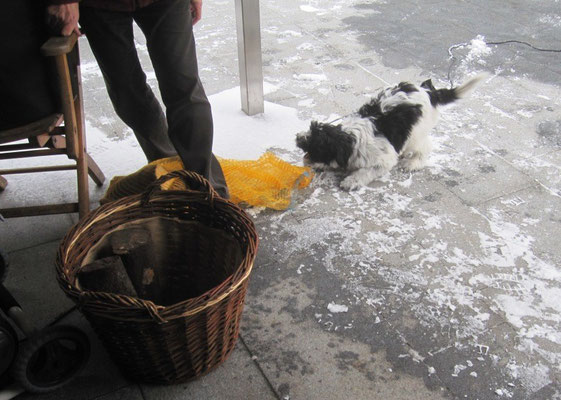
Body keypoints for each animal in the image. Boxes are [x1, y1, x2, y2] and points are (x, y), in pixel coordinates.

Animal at [296, 74, 484, 191]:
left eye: (317, 148)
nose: (298, 138)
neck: (351, 139)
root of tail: (429, 91)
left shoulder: (383, 160)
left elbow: (367, 171)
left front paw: (352, 180)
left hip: (417, 132)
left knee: (425, 147)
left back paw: (412, 163)